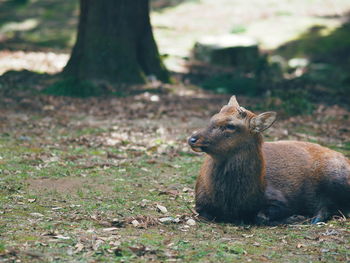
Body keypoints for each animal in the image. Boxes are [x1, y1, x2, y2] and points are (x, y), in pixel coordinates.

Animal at [189, 96, 350, 225]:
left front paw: (293, 217)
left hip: (336, 176)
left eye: (230, 126)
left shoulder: (281, 198)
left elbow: (261, 216)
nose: (192, 139)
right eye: (213, 118)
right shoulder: (200, 204)